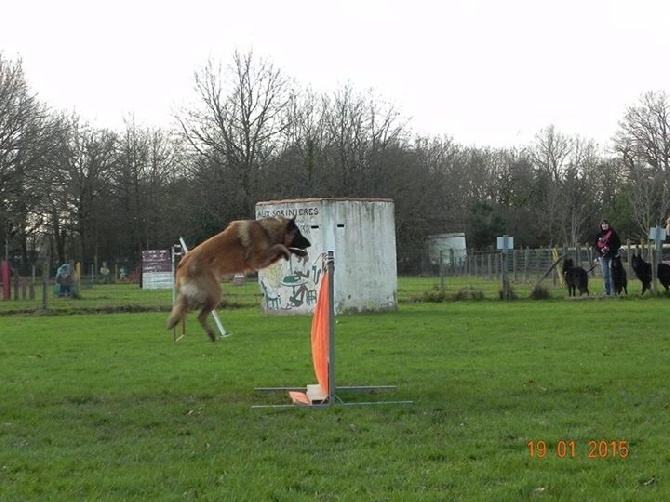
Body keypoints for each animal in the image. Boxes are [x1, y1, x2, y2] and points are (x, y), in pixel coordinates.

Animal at [171, 216, 312, 342]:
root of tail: (183, 263)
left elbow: (284, 247)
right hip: (214, 292)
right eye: (298, 233)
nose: (309, 244)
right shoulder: (257, 259)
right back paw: (210, 334)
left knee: (189, 310)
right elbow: (280, 246)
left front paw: (297, 252)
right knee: (199, 315)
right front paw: (287, 252)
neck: (266, 232)